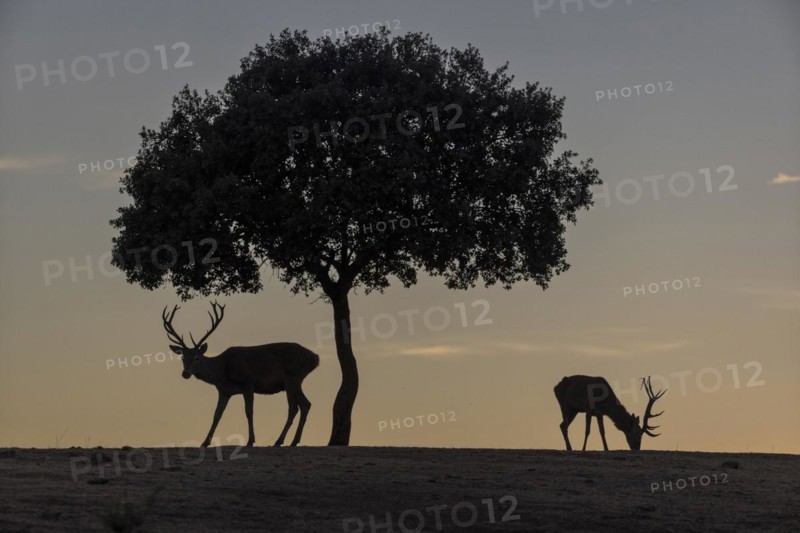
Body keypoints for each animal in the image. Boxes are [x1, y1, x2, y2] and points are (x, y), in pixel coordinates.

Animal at [161, 301, 320, 447]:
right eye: (183, 357)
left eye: (197, 358)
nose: (185, 373)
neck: (222, 373)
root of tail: (315, 358)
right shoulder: (224, 391)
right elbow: (216, 415)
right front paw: (205, 442)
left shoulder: (248, 383)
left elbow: (249, 411)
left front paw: (250, 441)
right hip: (293, 382)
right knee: (305, 404)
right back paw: (292, 441)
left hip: (293, 378)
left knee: (295, 407)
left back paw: (280, 441)